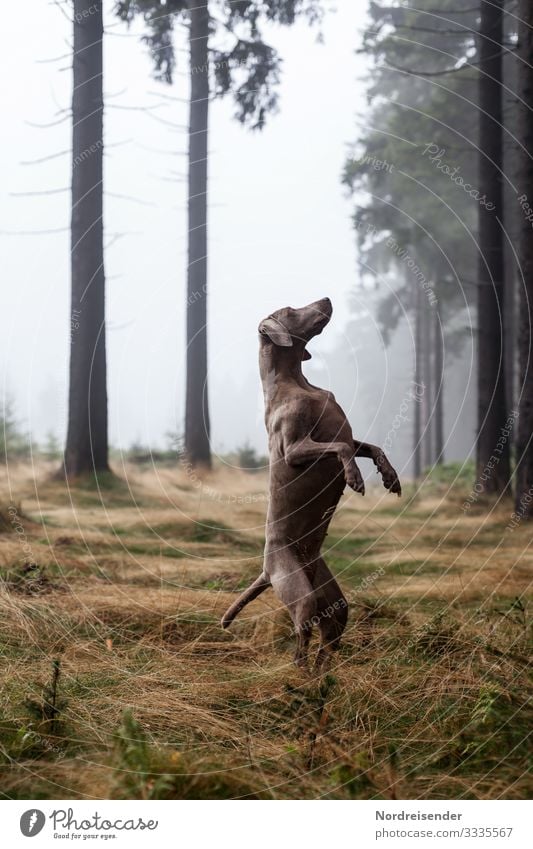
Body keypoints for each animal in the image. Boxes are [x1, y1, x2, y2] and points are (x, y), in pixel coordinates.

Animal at [220, 298, 400, 668]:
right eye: (290, 309)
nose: (327, 299)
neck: (298, 381)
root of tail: (267, 569)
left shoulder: (347, 435)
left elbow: (372, 447)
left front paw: (390, 477)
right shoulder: (294, 448)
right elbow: (341, 449)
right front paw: (354, 478)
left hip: (333, 599)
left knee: (327, 638)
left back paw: (325, 674)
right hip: (298, 591)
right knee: (302, 636)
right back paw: (300, 674)